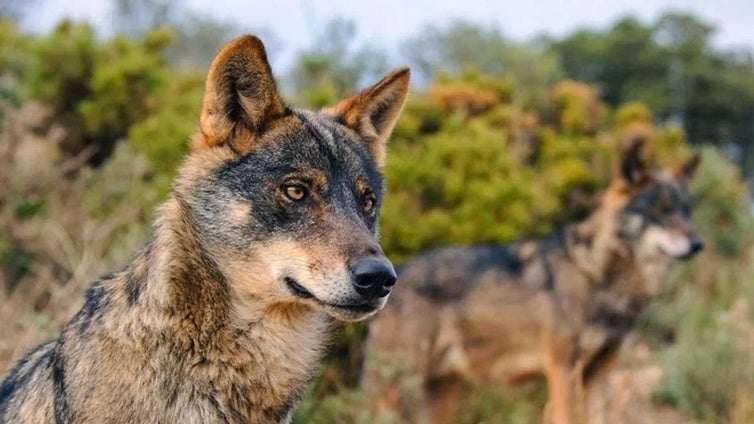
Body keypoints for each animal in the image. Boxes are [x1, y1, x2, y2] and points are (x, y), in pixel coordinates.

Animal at [362, 137, 704, 422]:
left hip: (440, 392)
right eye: (660, 211)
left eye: (686, 211)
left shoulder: (600, 373)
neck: (597, 275)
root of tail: (396, 274)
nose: (698, 244)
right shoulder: (562, 369)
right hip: (398, 388)